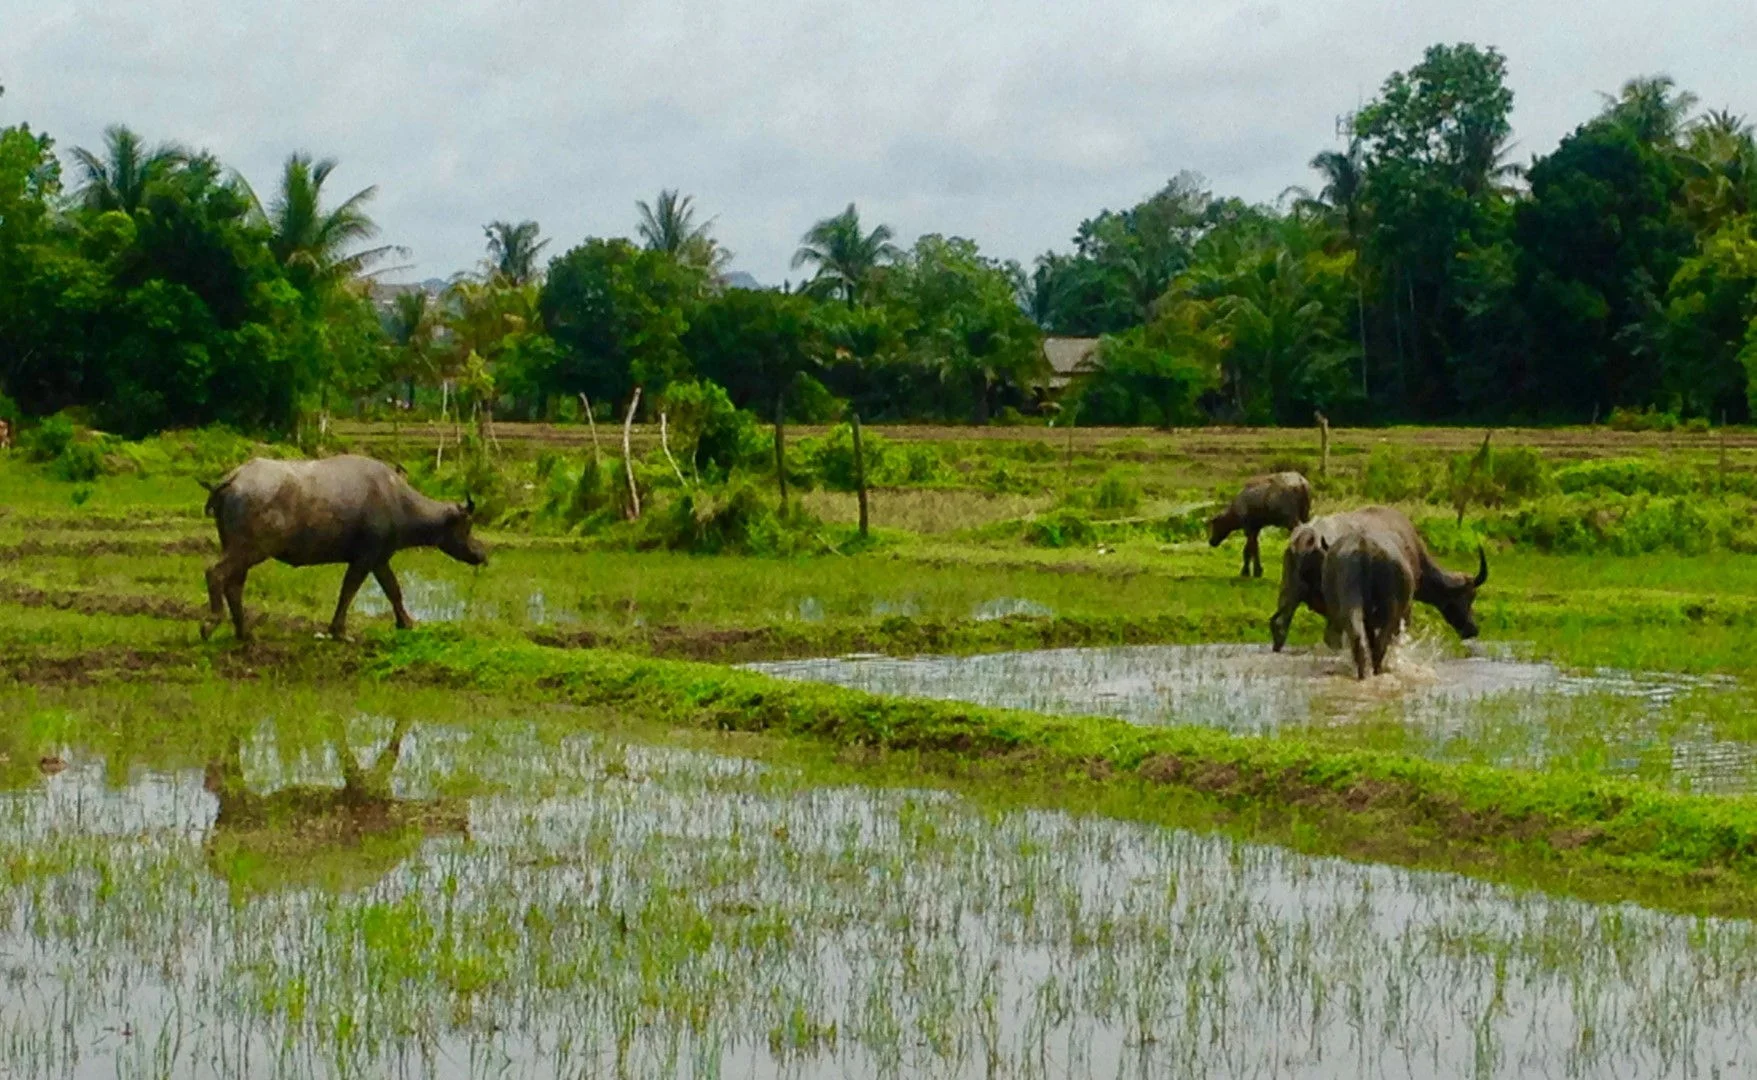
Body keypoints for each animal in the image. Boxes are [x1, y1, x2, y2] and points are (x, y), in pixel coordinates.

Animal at [200, 453, 488, 642]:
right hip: (251, 548)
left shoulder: (379, 559)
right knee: (215, 573)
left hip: (237, 548)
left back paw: (244, 632)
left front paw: (405, 623)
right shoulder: (364, 558)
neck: (397, 501)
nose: (482, 553)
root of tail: (234, 478)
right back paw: (211, 624)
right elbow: (348, 591)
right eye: (467, 526)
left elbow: (393, 590)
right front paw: (339, 631)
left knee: (234, 584)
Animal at [1272, 505, 1489, 660]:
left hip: (1289, 591)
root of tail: (1308, 536)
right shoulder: (1404, 608)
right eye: (1469, 597)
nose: (1473, 629)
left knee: (1280, 624)